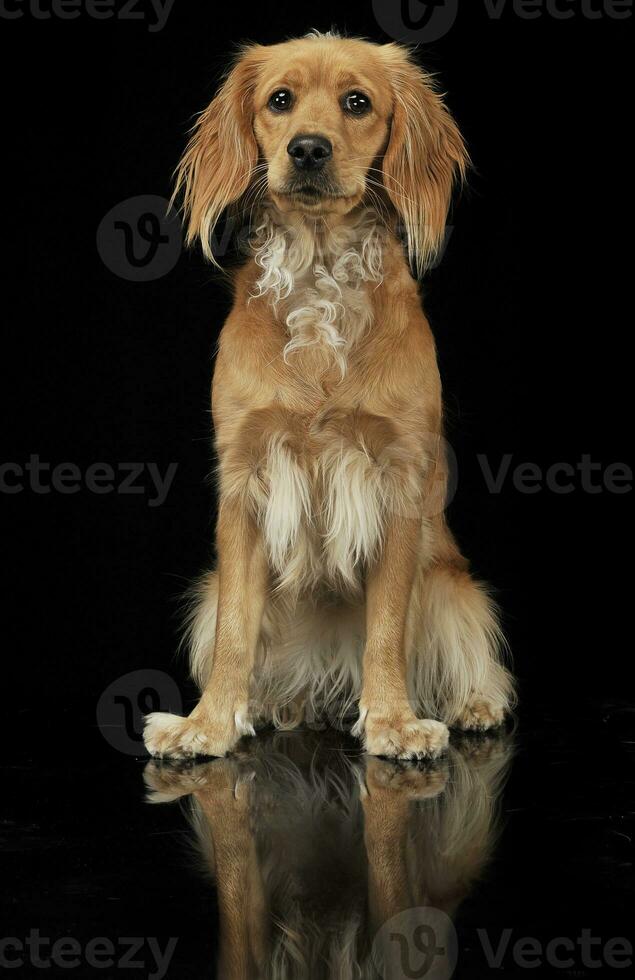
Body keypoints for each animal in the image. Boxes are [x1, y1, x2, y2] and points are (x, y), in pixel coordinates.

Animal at [144, 30, 516, 760]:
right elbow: (233, 633)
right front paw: (209, 723)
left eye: (357, 102)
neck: (318, 268)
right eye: (279, 100)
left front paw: (394, 721)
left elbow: (388, 628)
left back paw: (471, 703)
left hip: (452, 586)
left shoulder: (397, 479)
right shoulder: (246, 481)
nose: (308, 148)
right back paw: (277, 703)